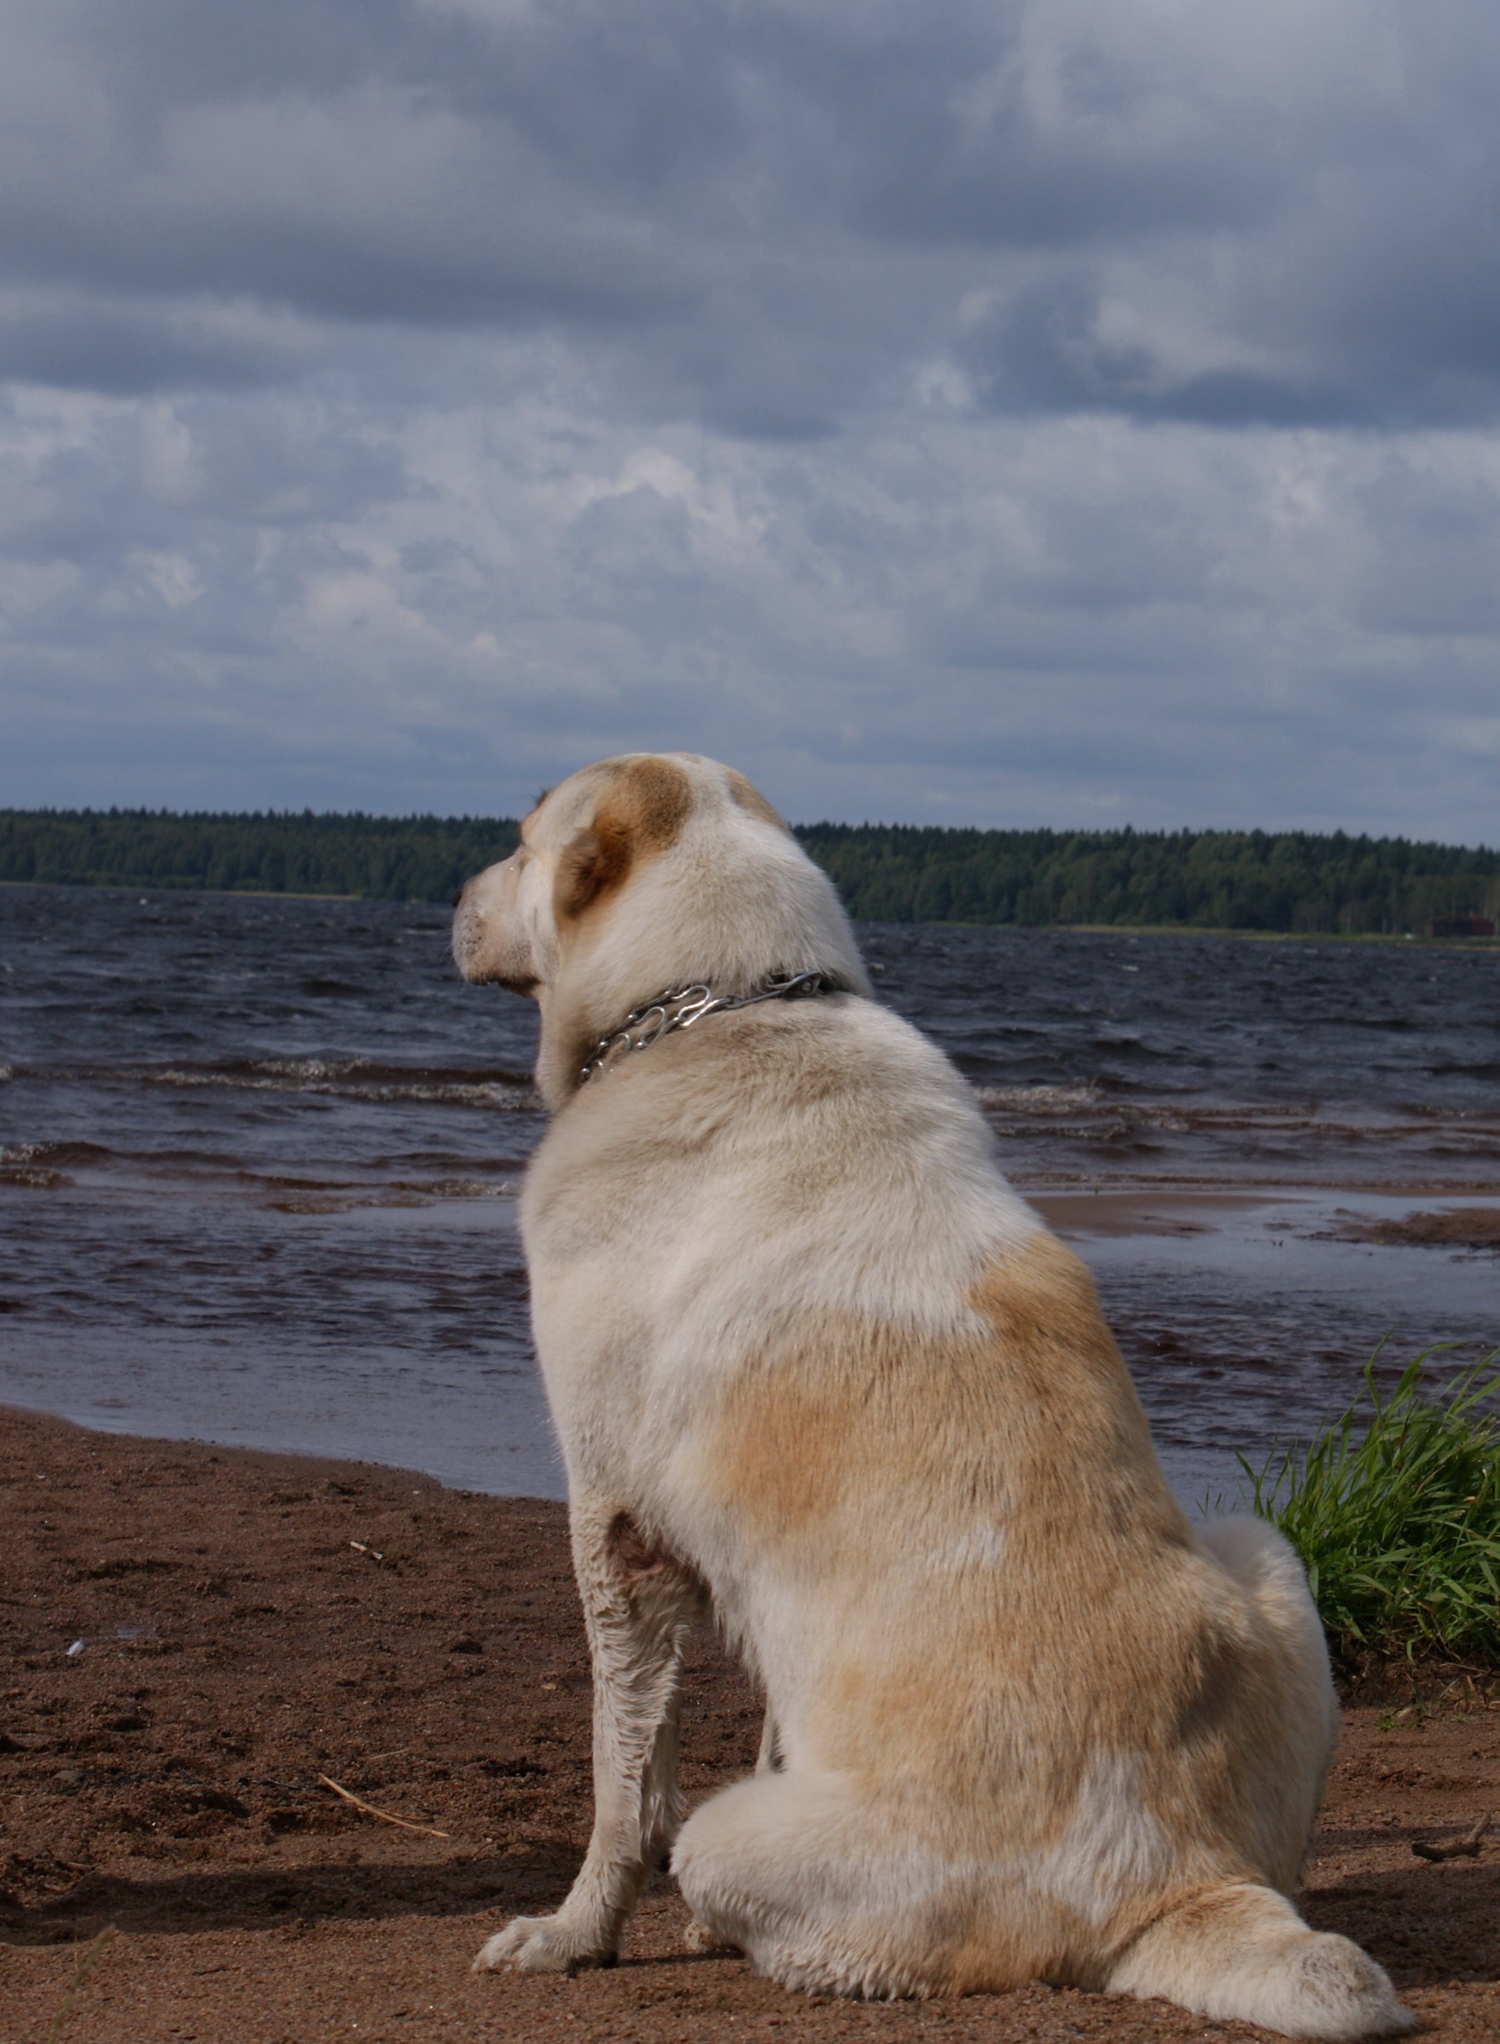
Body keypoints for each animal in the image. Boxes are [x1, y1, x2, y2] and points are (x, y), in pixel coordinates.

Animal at [451, 756, 1414, 2043]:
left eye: (519, 842)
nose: (455, 898)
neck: (727, 1002)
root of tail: (1183, 1877)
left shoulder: (616, 1528)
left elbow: (623, 1786)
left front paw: (569, 1936)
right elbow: (762, 1723)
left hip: (737, 1835)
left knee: (737, 1870)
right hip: (1265, 1550)